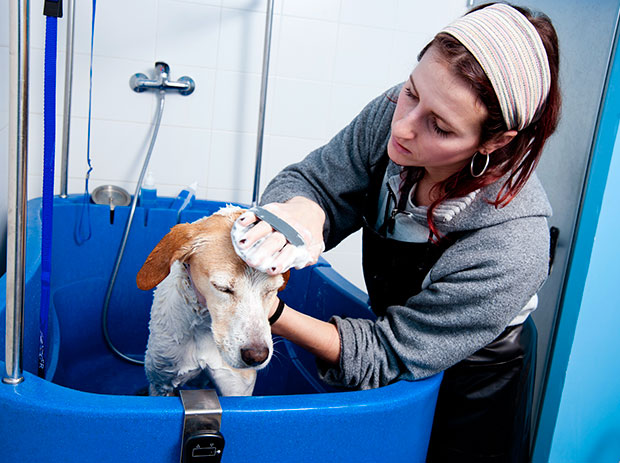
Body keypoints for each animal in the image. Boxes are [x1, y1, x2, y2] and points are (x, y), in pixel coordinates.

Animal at [136, 208, 288, 398]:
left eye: (271, 290)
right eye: (222, 288)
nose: (257, 356)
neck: (203, 325)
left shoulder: (236, 388)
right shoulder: (161, 385)